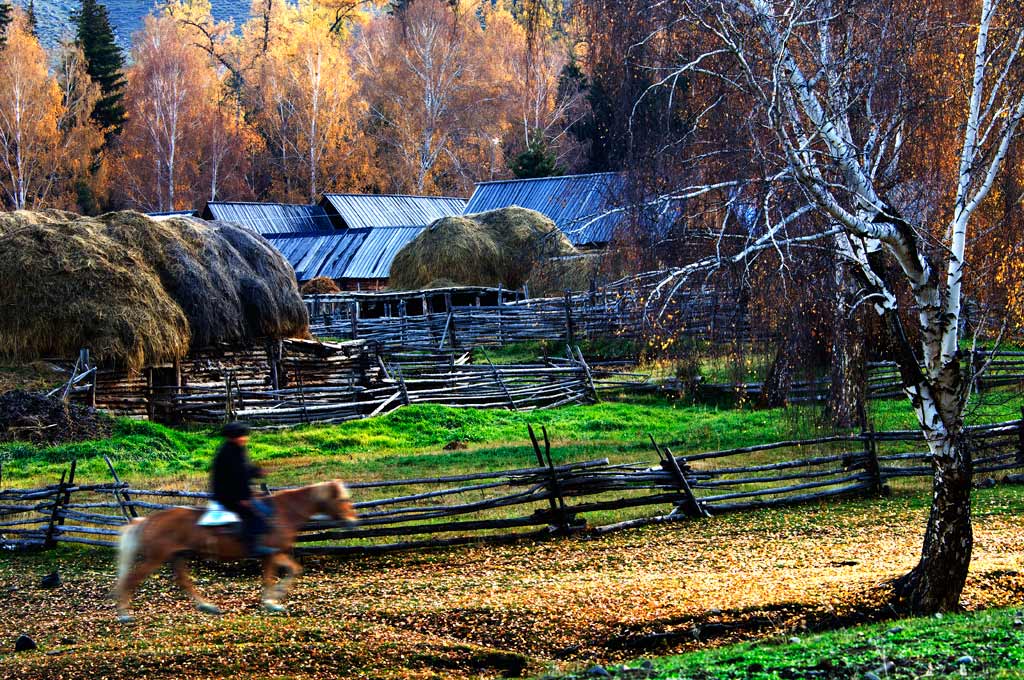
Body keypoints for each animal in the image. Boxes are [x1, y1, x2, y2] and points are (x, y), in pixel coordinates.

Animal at [113, 477, 356, 622]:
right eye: (342, 499)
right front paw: (272, 601)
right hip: (156, 557)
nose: (353, 521)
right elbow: (276, 575)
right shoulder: (271, 553)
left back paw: (208, 606)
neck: (282, 513)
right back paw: (124, 614)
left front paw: (274, 600)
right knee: (131, 580)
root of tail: (149, 520)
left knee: (183, 581)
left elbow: (289, 571)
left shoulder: (273, 554)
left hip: (177, 556)